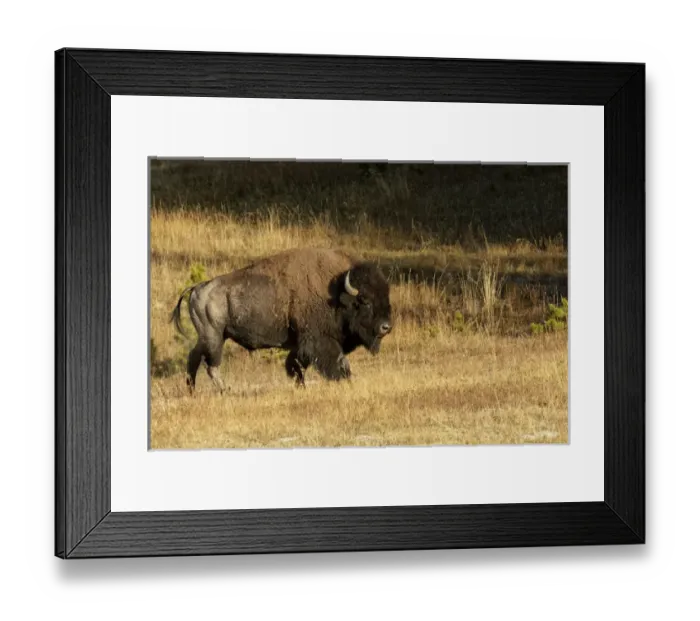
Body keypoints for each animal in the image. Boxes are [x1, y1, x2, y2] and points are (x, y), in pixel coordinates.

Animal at [170, 248, 393, 393]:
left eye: (385, 296)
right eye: (364, 301)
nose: (386, 327)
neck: (336, 293)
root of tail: (198, 287)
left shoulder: (302, 345)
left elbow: (296, 363)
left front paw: (300, 385)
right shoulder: (320, 341)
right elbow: (337, 363)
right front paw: (344, 382)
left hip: (211, 337)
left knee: (194, 358)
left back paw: (193, 391)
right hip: (214, 338)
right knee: (210, 365)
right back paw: (226, 390)